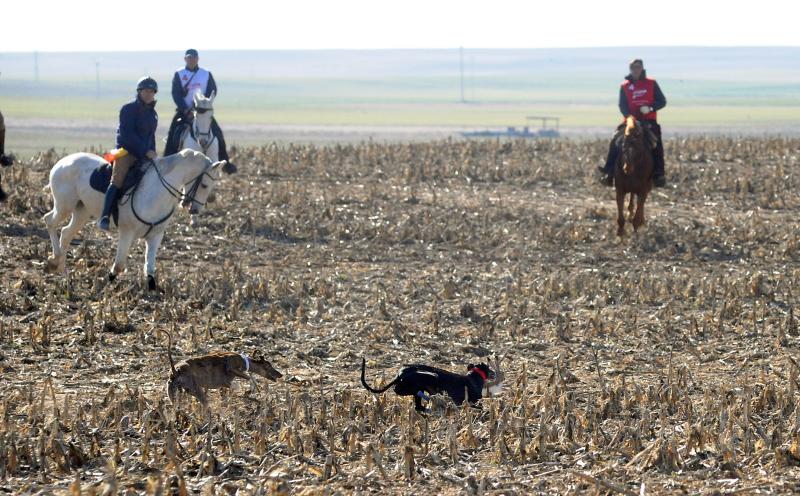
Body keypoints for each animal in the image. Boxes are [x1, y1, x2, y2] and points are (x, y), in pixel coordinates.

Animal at [43, 151, 225, 290]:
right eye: (204, 185)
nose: (195, 209)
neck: (157, 192)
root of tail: (64, 161)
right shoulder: (127, 233)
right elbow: (119, 265)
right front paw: (106, 283)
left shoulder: (155, 236)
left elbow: (150, 267)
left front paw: (153, 289)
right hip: (64, 206)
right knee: (50, 221)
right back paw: (55, 260)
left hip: (82, 212)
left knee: (66, 233)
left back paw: (61, 269)